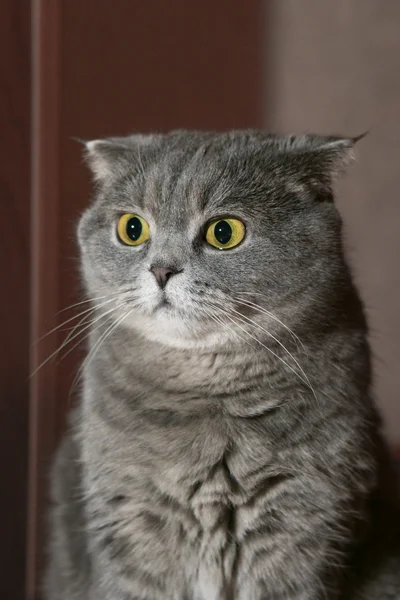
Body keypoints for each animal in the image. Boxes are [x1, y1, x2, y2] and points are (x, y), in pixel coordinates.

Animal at [45, 129, 400, 596]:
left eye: (223, 232)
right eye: (132, 229)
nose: (161, 270)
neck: (203, 390)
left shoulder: (303, 521)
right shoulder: (131, 521)